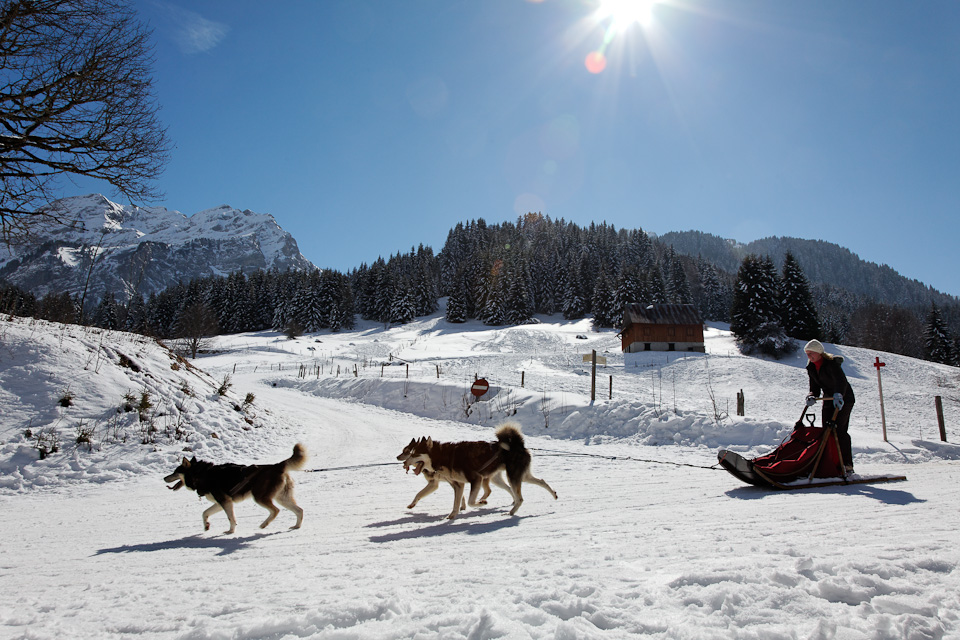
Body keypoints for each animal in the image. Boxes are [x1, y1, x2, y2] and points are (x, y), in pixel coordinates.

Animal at [165, 440, 306, 536]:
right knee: (299, 510)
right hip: (282, 498)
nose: (164, 478)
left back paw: (264, 524)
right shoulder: (221, 502)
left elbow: (231, 518)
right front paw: (206, 526)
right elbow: (205, 513)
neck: (202, 474)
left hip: (260, 497)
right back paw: (296, 526)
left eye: (175, 472)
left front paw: (230, 531)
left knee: (276, 510)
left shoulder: (225, 502)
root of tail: (277, 465)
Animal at [400, 424, 564, 520]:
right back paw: (553, 494)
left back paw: (510, 512)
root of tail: (519, 445)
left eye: (414, 454)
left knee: (520, 498)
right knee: (541, 481)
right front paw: (452, 515)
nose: (404, 463)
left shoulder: (475, 479)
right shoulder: (459, 484)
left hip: (512, 476)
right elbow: (457, 503)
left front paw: (481, 503)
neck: (443, 456)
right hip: (521, 476)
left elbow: (471, 502)